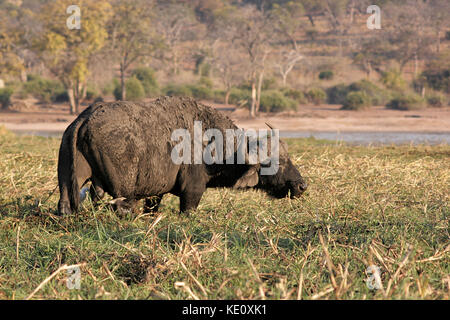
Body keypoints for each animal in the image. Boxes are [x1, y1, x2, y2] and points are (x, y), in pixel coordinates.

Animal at [57, 95, 306, 215]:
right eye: (278, 162)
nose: (302, 186)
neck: (212, 142)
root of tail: (85, 118)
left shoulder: (155, 194)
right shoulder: (192, 191)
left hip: (69, 179)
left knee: (66, 203)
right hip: (124, 190)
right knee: (122, 207)